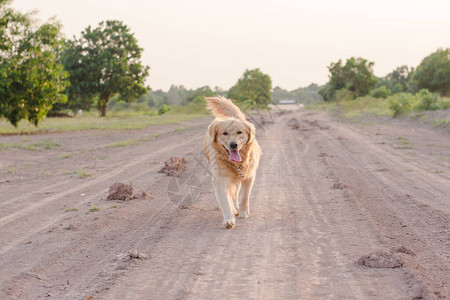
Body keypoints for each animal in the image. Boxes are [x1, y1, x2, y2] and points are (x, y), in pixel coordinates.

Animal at [203, 97, 262, 229]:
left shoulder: (248, 176)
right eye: (224, 133)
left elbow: (244, 197)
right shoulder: (220, 179)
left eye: (240, 132)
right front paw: (229, 219)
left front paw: (244, 212)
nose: (233, 144)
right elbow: (225, 200)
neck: (235, 164)